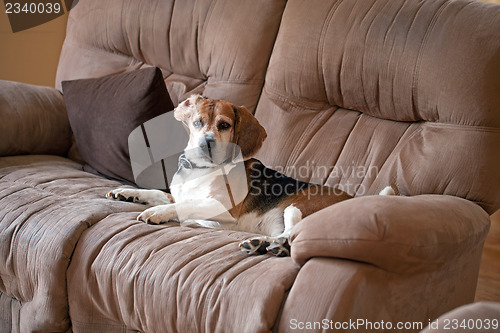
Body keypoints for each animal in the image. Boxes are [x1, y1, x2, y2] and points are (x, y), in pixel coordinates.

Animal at [108, 94, 390, 255]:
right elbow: (159, 193)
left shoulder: (222, 208)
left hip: (298, 207)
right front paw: (127, 193)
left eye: (224, 125)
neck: (201, 170)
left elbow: (182, 206)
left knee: (293, 234)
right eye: (198, 122)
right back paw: (261, 244)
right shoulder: (179, 195)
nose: (206, 143)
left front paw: (157, 213)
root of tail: (358, 199)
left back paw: (270, 245)